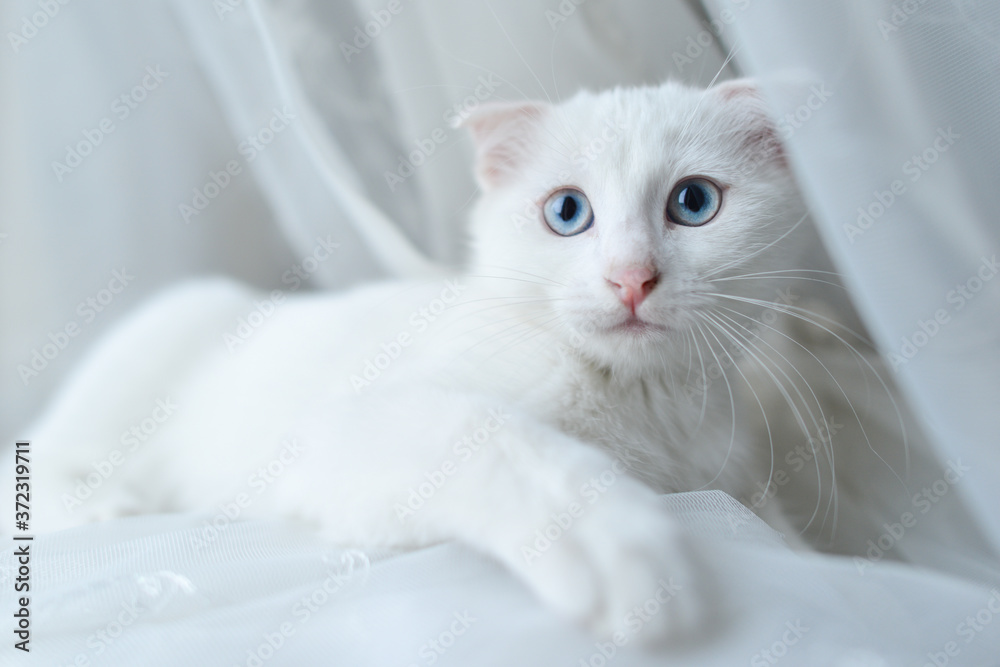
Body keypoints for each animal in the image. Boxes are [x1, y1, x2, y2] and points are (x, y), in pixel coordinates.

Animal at [23, 79, 812, 648]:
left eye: (695, 201)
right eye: (566, 212)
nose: (631, 278)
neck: (645, 403)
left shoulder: (730, 470)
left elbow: (769, 517)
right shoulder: (357, 426)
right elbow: (502, 441)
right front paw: (617, 546)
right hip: (162, 341)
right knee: (37, 454)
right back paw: (101, 506)